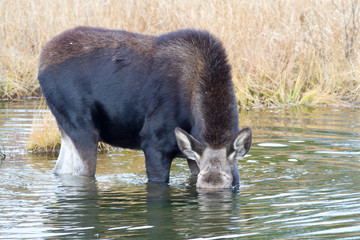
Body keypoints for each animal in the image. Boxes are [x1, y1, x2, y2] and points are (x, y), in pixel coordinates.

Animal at [38, 26, 252, 189]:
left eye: (232, 181)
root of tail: (41, 62)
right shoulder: (153, 143)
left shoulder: (191, 154)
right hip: (81, 126)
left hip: (65, 127)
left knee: (60, 169)